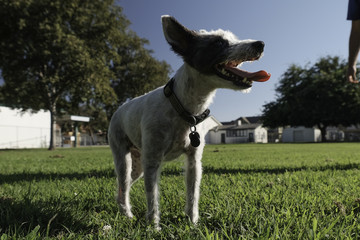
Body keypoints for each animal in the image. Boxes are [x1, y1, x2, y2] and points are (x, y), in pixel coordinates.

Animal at [107, 15, 270, 227]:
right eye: (218, 43)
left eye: (233, 38)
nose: (260, 44)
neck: (183, 108)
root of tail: (119, 110)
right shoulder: (152, 161)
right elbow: (152, 197)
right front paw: (153, 227)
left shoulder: (193, 161)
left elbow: (193, 195)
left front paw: (193, 224)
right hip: (123, 157)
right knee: (124, 183)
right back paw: (127, 213)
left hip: (138, 165)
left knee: (122, 187)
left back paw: (123, 210)